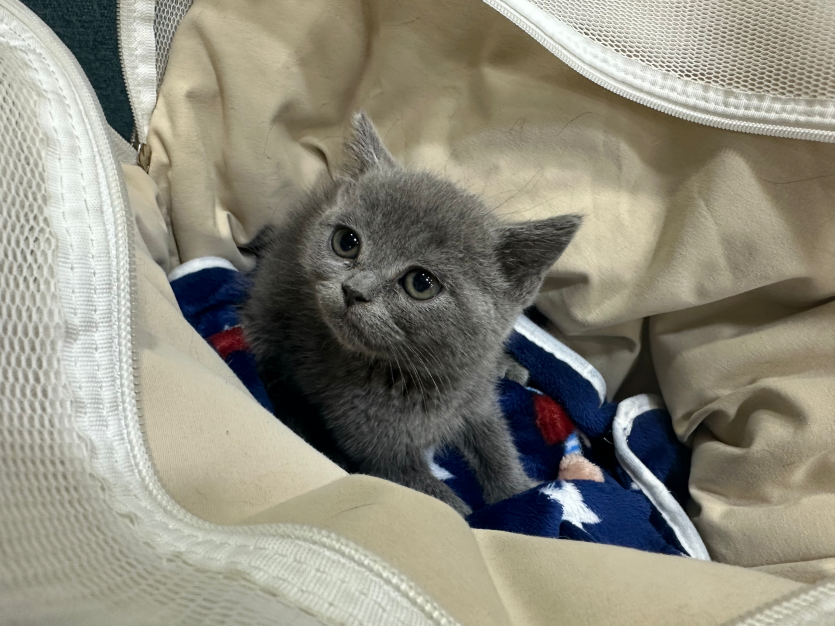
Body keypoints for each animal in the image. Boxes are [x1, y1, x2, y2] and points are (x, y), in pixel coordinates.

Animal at [241, 112, 581, 516]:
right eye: (346, 242)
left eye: (421, 283)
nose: (353, 290)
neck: (422, 380)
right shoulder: (378, 449)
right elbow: (440, 503)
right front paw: (489, 514)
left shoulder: (479, 404)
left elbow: (498, 444)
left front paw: (517, 491)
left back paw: (505, 365)